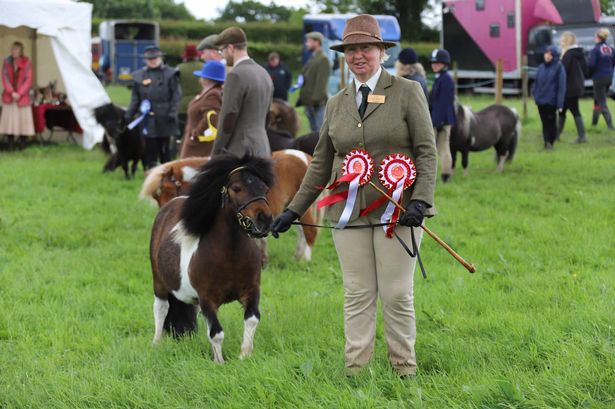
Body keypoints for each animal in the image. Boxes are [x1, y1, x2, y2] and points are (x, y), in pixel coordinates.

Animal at [141, 148, 322, 260]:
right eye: (156, 197)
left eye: (169, 191)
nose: (165, 210)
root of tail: (305, 157)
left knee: (310, 231)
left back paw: (304, 260)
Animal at [149, 153, 274, 364]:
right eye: (237, 188)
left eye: (264, 188)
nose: (265, 220)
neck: (230, 257)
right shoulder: (207, 299)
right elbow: (216, 333)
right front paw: (219, 362)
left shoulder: (251, 291)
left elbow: (251, 319)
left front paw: (245, 355)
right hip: (159, 281)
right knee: (161, 308)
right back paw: (156, 343)